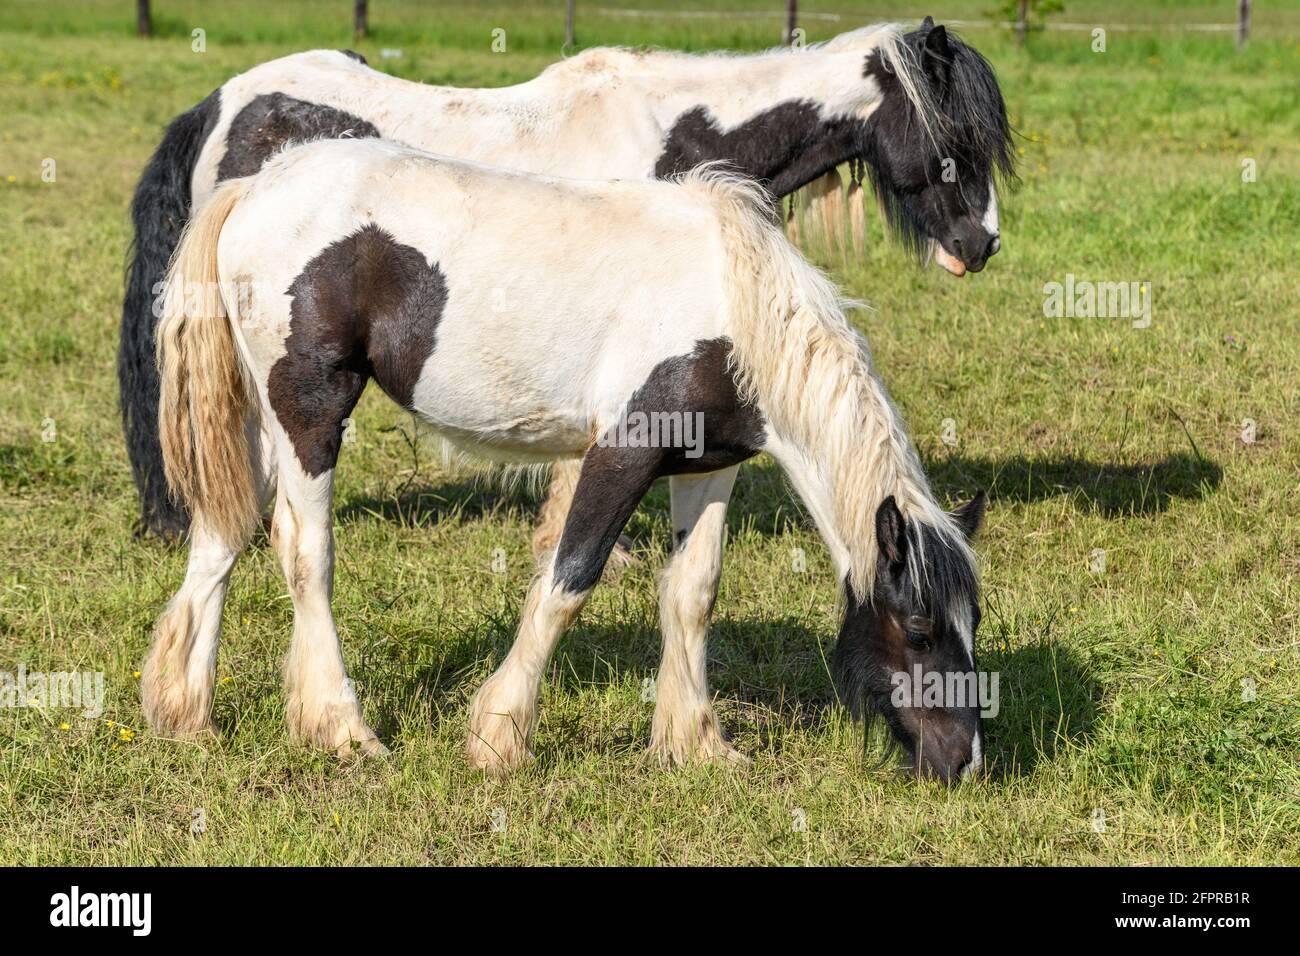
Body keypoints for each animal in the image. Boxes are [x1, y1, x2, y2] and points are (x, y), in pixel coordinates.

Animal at [149, 141, 982, 785]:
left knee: (223, 534)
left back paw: (185, 712)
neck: (733, 305)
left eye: (971, 622)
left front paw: (697, 744)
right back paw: (342, 727)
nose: (964, 761)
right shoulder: (621, 453)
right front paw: (499, 736)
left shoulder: (708, 465)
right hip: (311, 411)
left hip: (262, 422)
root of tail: (255, 187)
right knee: (304, 552)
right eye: (917, 629)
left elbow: (693, 592)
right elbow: (568, 580)